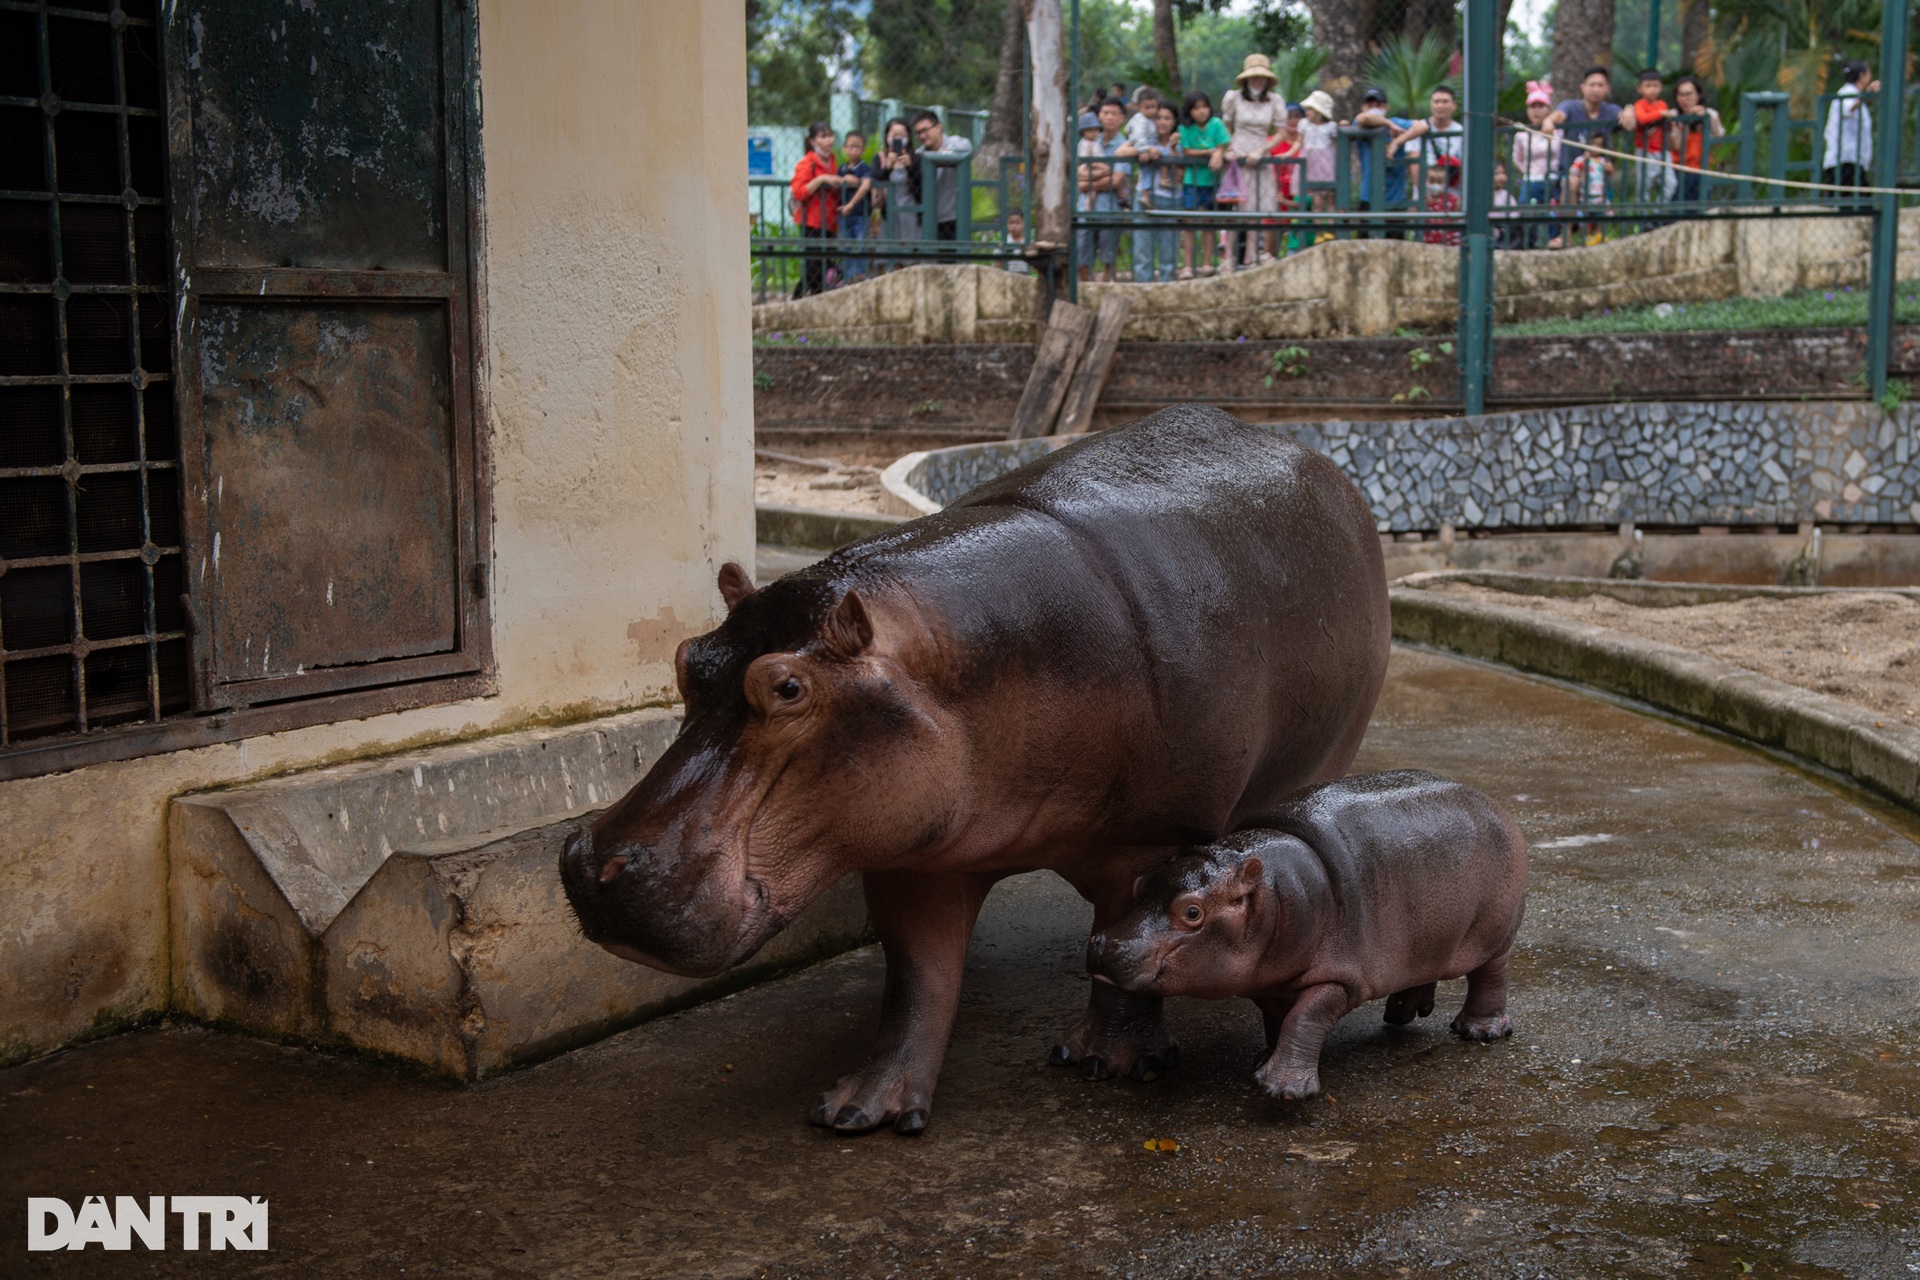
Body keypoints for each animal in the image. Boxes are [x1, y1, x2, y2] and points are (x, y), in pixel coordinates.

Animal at [560, 404, 1390, 1136]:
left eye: (788, 687)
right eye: (686, 657)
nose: (596, 868)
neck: (952, 666)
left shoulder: (1153, 838)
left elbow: (1123, 946)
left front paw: (1110, 1064)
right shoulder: (912, 855)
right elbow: (918, 979)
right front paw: (862, 1108)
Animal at [1090, 771, 1520, 1105]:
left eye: (1193, 912)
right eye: (1140, 886)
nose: (1106, 945)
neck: (1275, 891)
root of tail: (1492, 804)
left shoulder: (1341, 977)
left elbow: (1304, 1017)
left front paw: (1284, 1089)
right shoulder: (1269, 979)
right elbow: (1277, 1018)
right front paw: (1264, 1058)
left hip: (1496, 934)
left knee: (1491, 977)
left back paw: (1479, 1032)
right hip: (1424, 938)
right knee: (1421, 970)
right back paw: (1402, 1014)